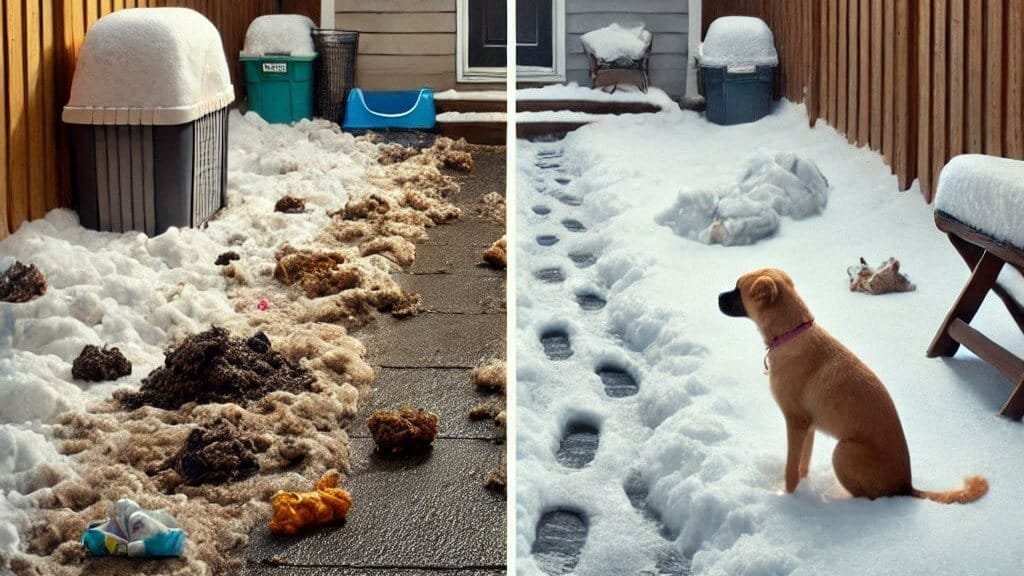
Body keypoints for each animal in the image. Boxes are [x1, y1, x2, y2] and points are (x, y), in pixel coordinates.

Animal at [716, 266, 987, 500]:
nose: (717, 296)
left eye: (737, 289)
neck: (791, 333)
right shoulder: (809, 426)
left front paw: (788, 498)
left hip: (843, 452)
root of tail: (906, 486)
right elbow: (803, 464)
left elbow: (791, 469)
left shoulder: (795, 422)